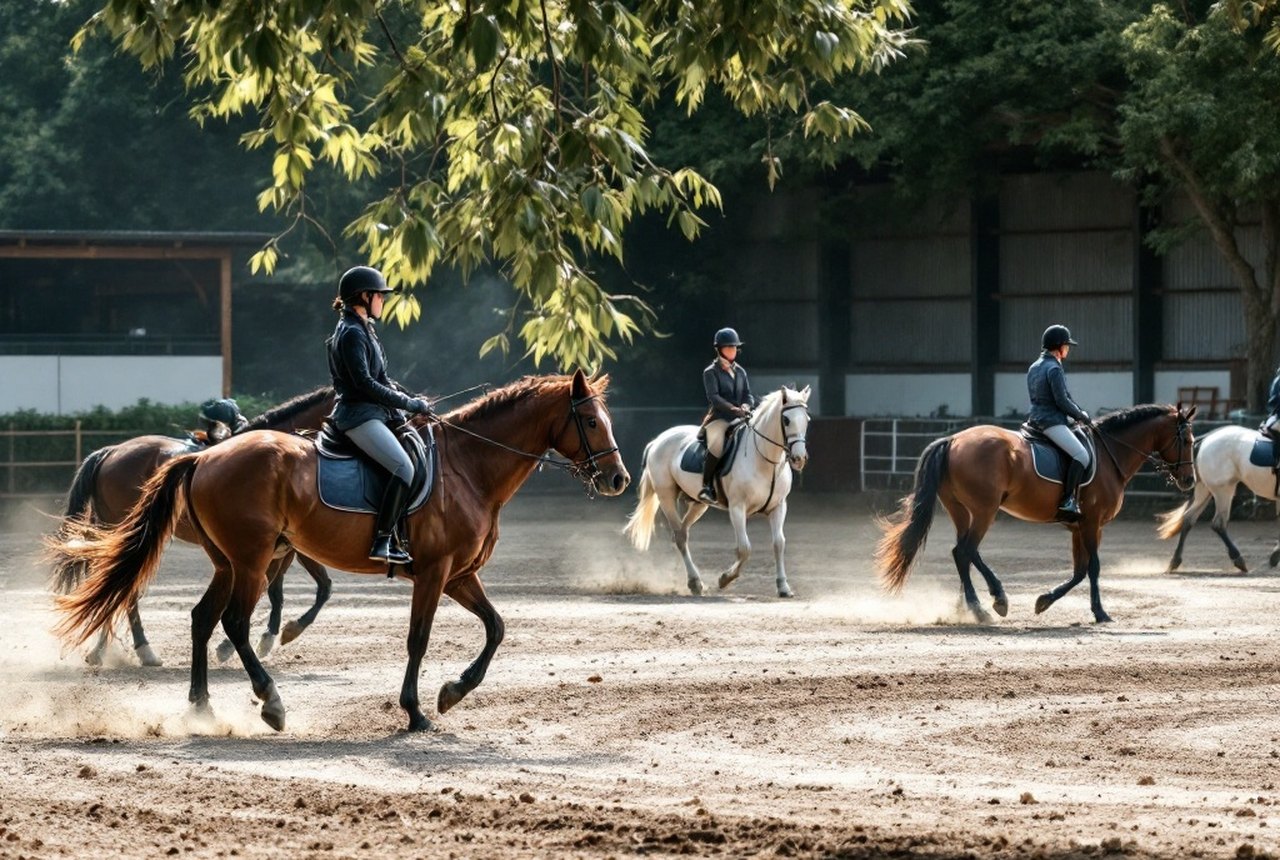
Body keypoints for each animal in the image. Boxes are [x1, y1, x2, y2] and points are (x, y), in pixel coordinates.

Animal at [48, 387, 337, 666]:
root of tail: (111, 451)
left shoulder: (280, 549)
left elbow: (285, 589)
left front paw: (261, 639)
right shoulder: (287, 547)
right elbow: (308, 587)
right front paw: (255, 640)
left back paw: (105, 648)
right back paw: (140, 650)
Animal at [624, 386, 811, 597]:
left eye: (807, 419)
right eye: (786, 420)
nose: (799, 458)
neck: (765, 461)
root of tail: (657, 441)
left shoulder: (778, 507)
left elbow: (779, 543)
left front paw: (783, 587)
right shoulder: (737, 508)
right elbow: (744, 548)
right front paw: (725, 579)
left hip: (698, 504)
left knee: (681, 533)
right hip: (666, 498)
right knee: (680, 536)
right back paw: (695, 582)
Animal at [875, 404, 1196, 623]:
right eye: (1187, 440)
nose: (1189, 480)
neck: (1110, 454)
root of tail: (952, 440)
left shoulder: (1079, 527)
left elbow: (1080, 570)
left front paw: (1043, 601)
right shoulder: (1093, 524)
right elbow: (1093, 567)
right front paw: (1100, 612)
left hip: (961, 511)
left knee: (961, 553)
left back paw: (970, 606)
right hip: (984, 510)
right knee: (966, 549)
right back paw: (992, 602)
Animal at [1157, 425, 1280, 572]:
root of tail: (1206, 439)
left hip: (1204, 489)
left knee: (1188, 518)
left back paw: (1175, 561)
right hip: (1223, 490)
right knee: (1218, 523)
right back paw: (1238, 559)